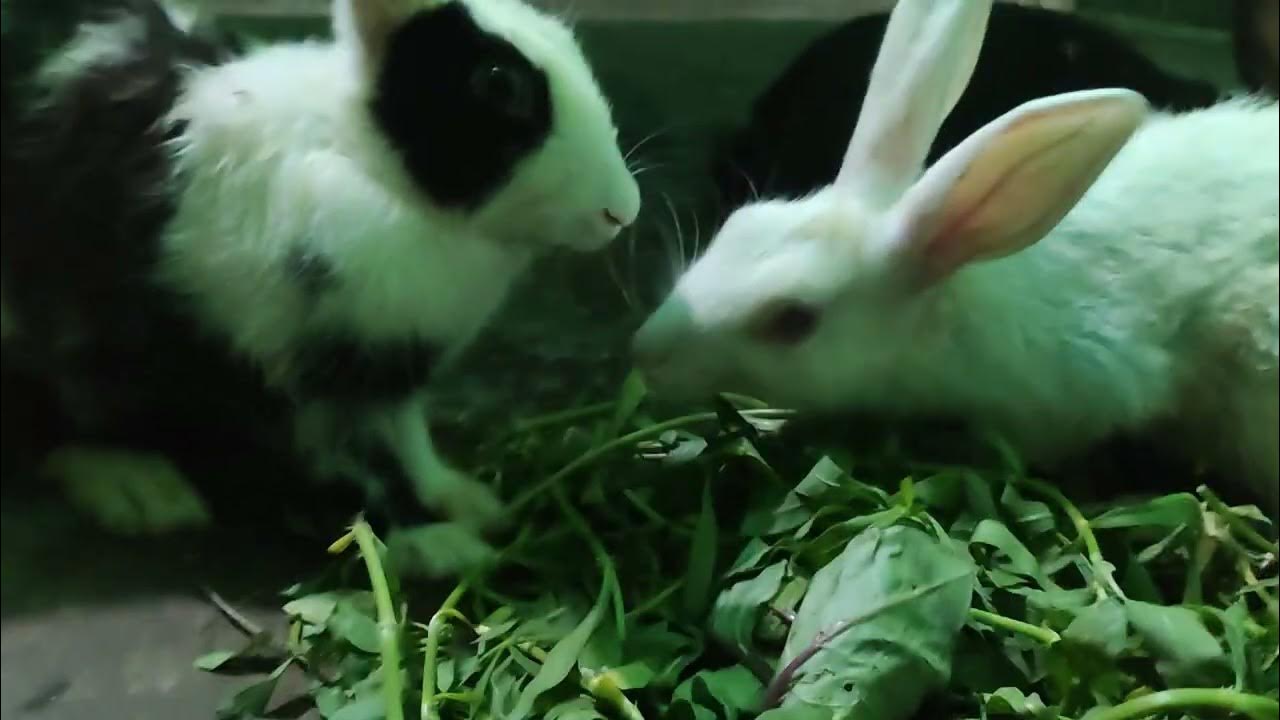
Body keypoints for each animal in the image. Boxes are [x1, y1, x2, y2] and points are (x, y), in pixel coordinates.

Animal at [0, 0, 641, 536]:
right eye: (498, 83)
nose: (622, 211)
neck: (371, 166)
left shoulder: (389, 372)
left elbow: (410, 445)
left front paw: (465, 501)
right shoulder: (312, 375)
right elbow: (361, 465)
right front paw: (437, 547)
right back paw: (143, 493)